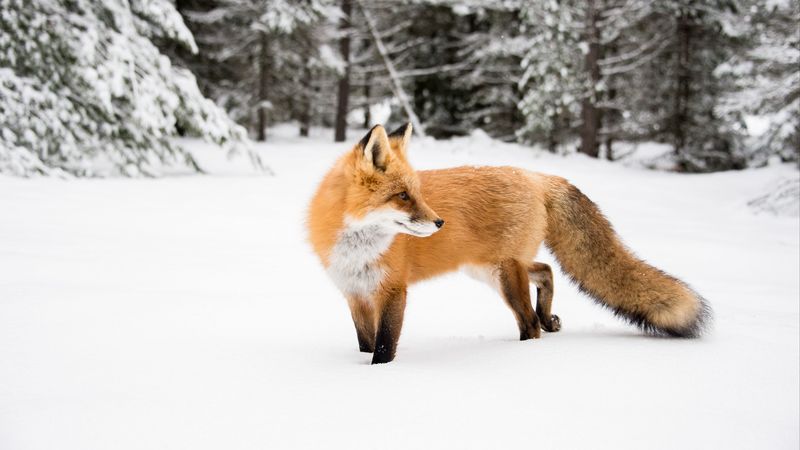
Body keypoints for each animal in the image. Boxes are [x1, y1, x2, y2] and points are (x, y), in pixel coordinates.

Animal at [307, 123, 711, 364]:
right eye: (403, 196)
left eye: (417, 193)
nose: (439, 222)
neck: (357, 248)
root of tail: (536, 176)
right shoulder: (355, 293)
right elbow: (365, 341)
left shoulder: (392, 291)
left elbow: (384, 346)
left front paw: (378, 376)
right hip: (489, 268)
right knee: (546, 271)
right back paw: (549, 318)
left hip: (503, 274)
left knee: (529, 322)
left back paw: (523, 350)